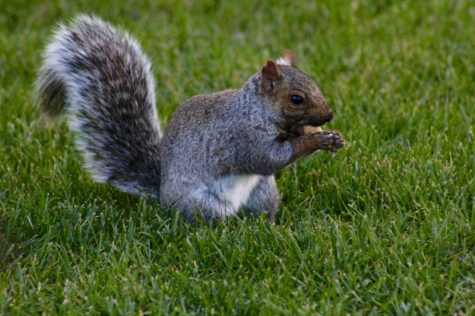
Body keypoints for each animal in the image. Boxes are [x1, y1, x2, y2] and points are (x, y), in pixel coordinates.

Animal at [34, 15, 346, 222]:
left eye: (315, 83)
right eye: (296, 98)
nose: (329, 115)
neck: (256, 108)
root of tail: (163, 194)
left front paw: (321, 133)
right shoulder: (242, 135)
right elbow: (268, 158)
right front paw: (316, 139)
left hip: (262, 192)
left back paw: (267, 225)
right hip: (201, 202)